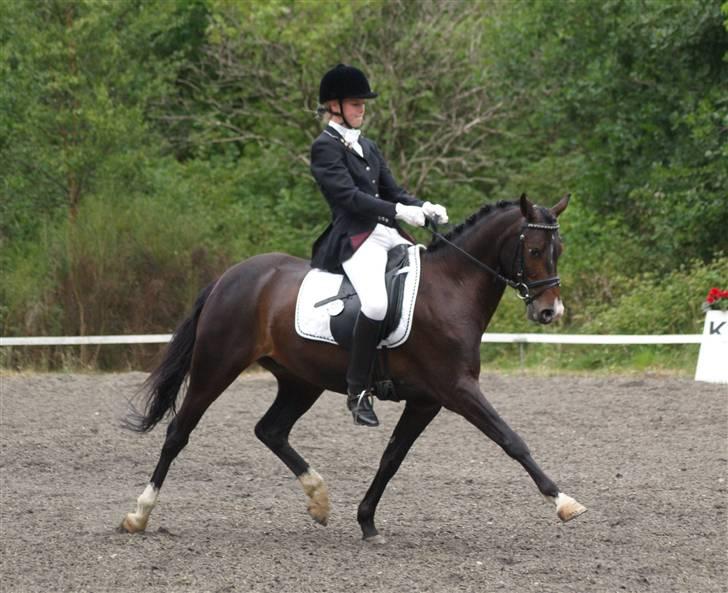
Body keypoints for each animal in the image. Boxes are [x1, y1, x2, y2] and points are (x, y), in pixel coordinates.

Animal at [120, 193, 586, 542]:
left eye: (559, 251)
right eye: (533, 250)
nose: (550, 312)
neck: (450, 289)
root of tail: (228, 277)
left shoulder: (426, 401)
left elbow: (392, 457)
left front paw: (366, 521)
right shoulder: (457, 389)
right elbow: (512, 440)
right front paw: (564, 502)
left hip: (300, 381)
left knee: (271, 430)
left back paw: (318, 499)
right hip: (216, 367)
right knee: (178, 433)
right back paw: (139, 515)